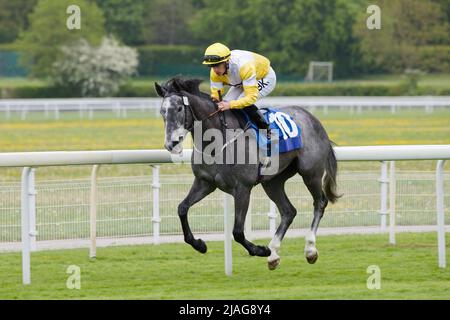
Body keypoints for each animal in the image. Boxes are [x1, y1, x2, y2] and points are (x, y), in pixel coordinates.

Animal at [153, 77, 340, 270]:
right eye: (162, 111)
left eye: (179, 108)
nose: (171, 144)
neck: (218, 140)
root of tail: (313, 118)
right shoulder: (204, 183)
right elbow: (182, 208)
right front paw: (199, 244)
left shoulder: (242, 188)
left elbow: (237, 231)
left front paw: (260, 250)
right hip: (272, 181)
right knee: (288, 211)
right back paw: (273, 254)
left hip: (310, 173)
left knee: (320, 202)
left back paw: (309, 249)